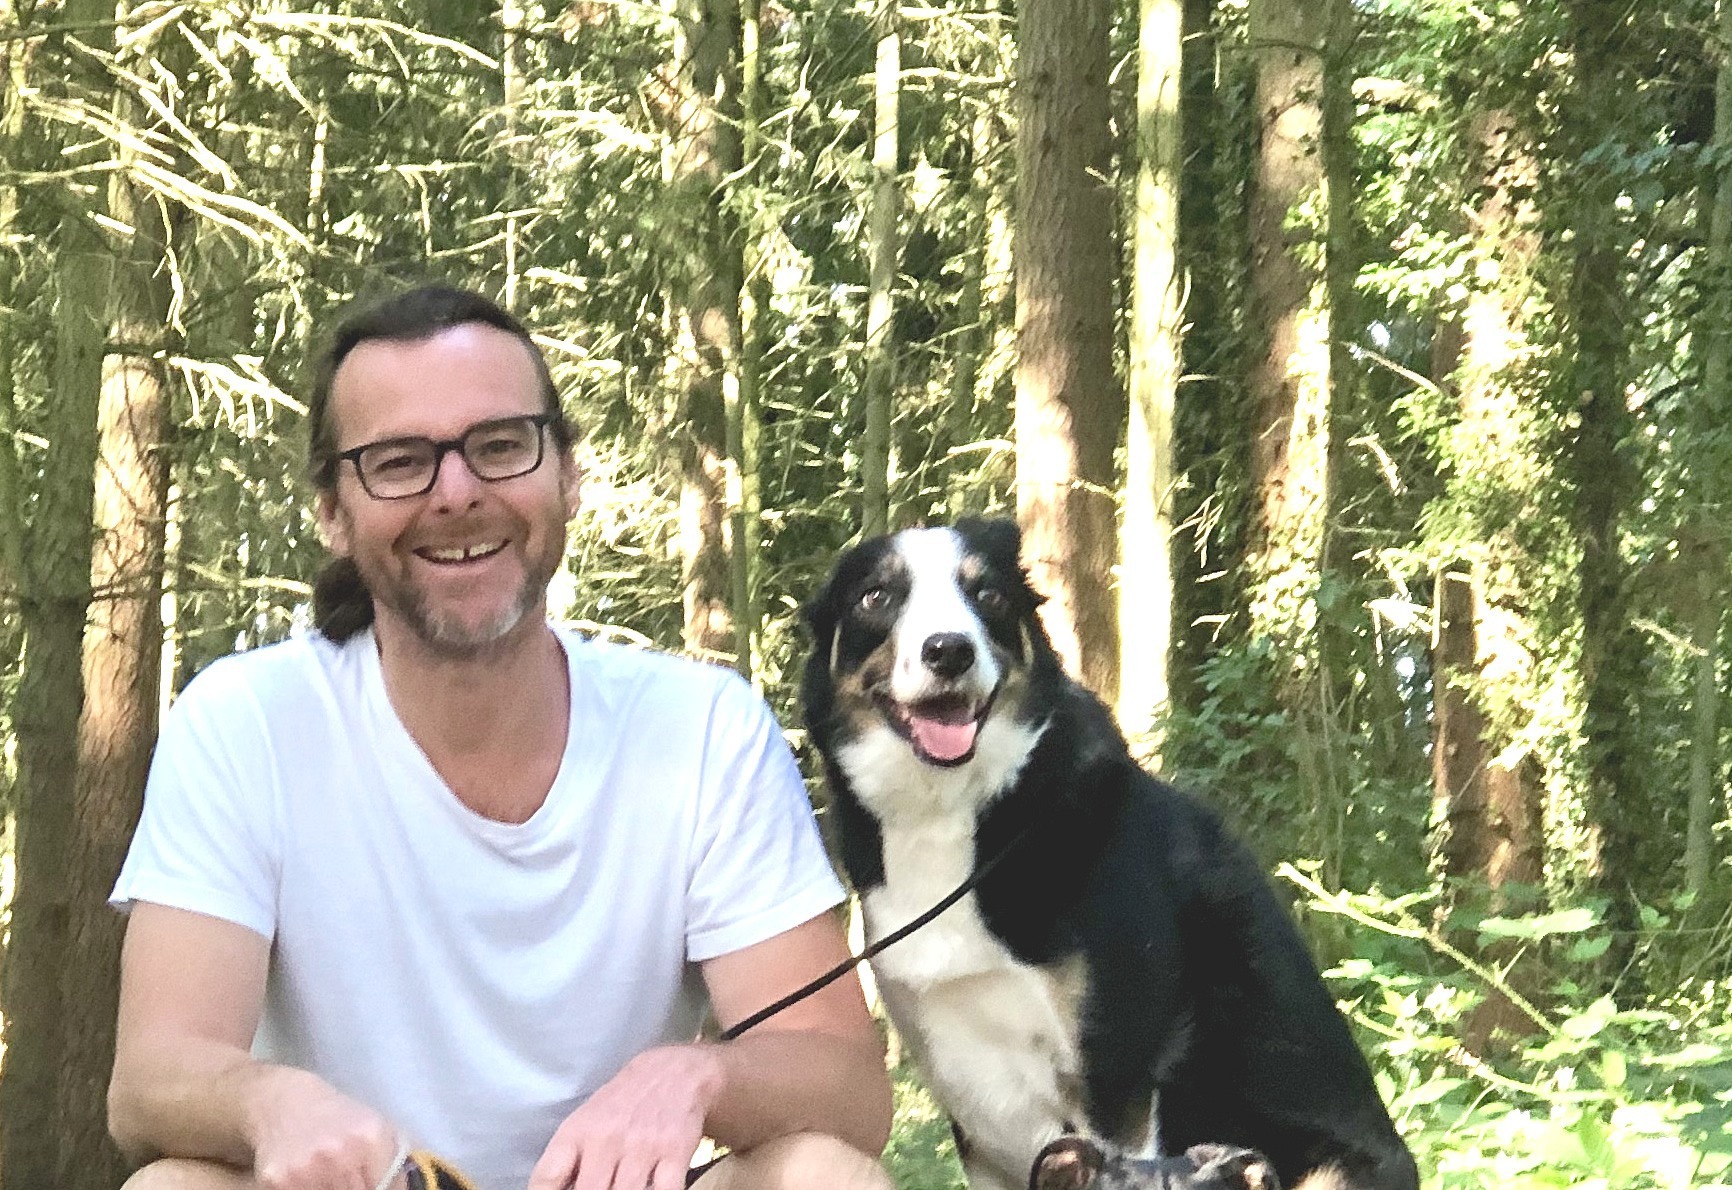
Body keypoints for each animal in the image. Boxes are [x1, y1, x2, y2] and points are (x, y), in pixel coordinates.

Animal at [800, 518, 1419, 1190]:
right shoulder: (973, 1117)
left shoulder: (1114, 1081)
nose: (950, 650)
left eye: (987, 594)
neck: (958, 815)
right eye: (876, 596)